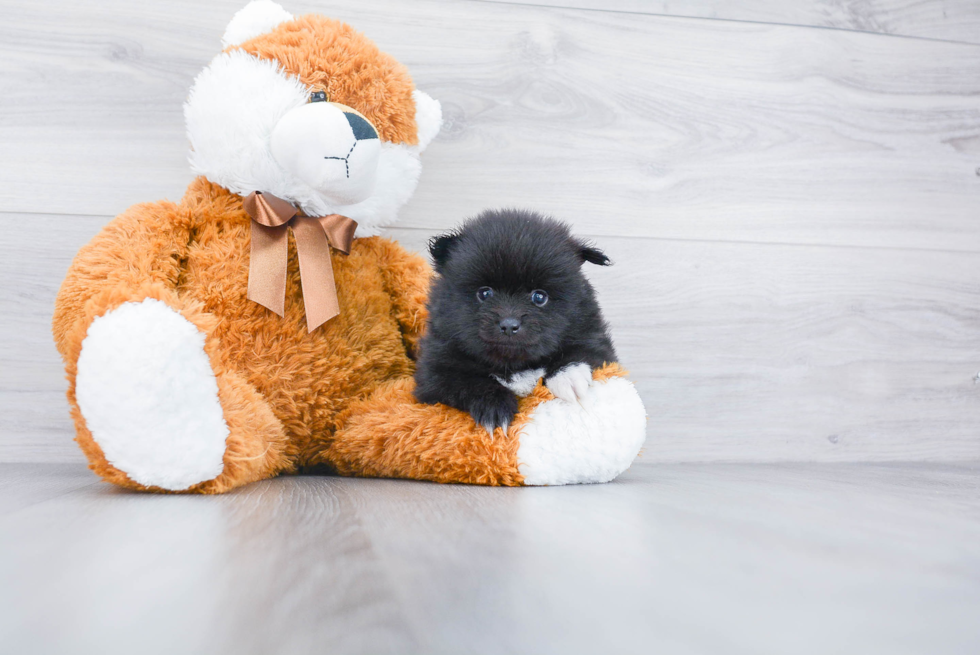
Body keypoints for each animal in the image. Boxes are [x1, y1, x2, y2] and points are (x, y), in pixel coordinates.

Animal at [412, 210, 612, 436]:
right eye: (485, 293)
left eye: (539, 297)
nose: (509, 325)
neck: (513, 365)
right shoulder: (432, 373)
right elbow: (466, 381)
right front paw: (494, 408)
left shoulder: (595, 340)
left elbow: (580, 353)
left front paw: (568, 377)